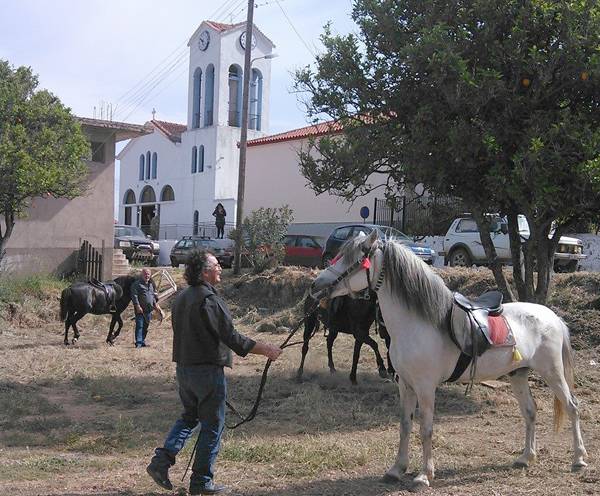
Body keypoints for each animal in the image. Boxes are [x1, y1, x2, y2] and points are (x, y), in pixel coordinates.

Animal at [310, 232, 584, 488]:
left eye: (356, 259)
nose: (315, 285)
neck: (417, 324)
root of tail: (552, 317)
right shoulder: (405, 385)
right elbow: (405, 426)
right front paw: (396, 470)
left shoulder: (425, 387)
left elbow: (426, 429)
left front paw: (424, 475)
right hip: (518, 375)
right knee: (530, 412)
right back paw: (526, 458)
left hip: (553, 373)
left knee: (572, 407)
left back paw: (579, 459)